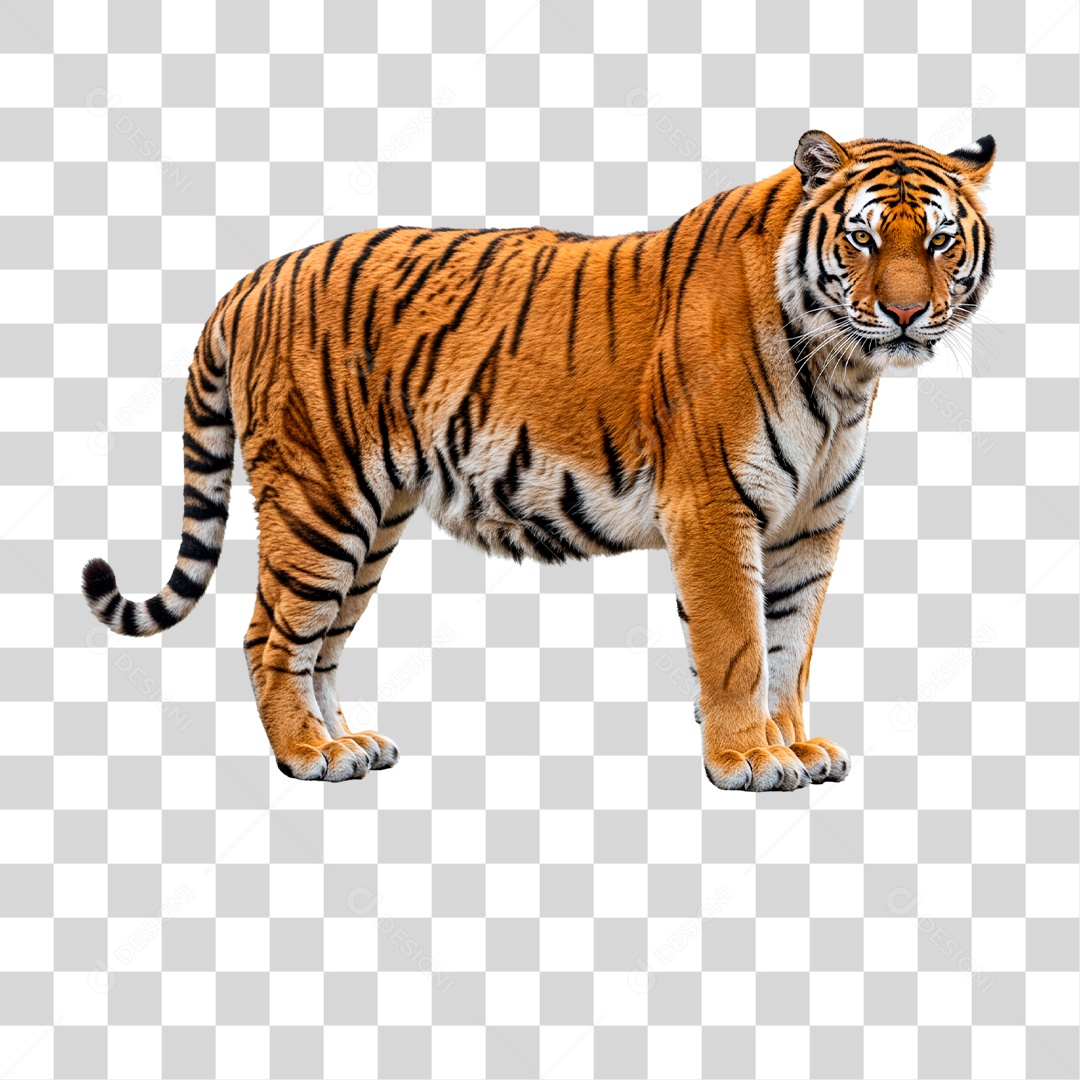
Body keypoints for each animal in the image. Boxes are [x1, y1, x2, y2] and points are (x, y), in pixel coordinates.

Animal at [82, 130, 996, 792]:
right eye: (862, 238)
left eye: (941, 242)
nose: (906, 314)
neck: (844, 371)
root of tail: (252, 279)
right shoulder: (714, 507)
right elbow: (737, 645)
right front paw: (748, 759)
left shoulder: (810, 527)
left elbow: (788, 649)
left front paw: (795, 746)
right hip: (319, 502)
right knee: (269, 636)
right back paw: (307, 755)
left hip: (371, 524)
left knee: (322, 643)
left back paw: (350, 743)